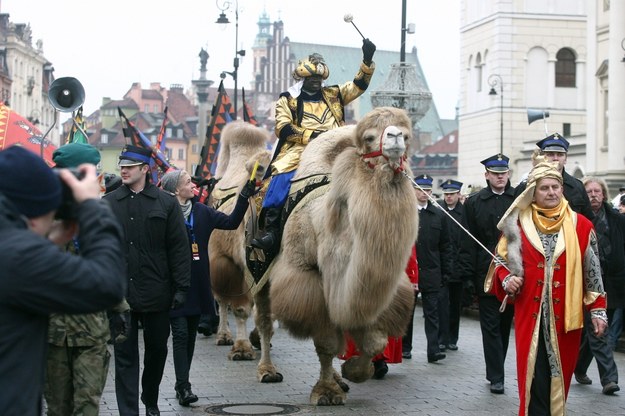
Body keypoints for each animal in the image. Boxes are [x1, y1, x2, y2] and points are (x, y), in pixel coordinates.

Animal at [208, 119, 272, 360]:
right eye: (260, 169)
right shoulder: (234, 265)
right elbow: (241, 308)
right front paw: (242, 348)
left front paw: (256, 339)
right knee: (222, 300)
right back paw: (224, 335)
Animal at [251, 105, 416, 404]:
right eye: (370, 137)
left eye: (407, 135)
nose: (396, 137)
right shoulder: (308, 277)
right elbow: (327, 342)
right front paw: (326, 392)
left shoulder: (364, 283)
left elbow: (374, 339)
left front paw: (354, 372)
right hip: (258, 272)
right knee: (265, 321)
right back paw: (267, 370)